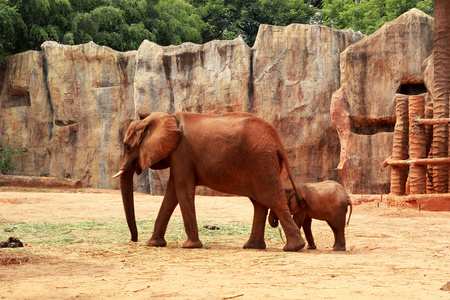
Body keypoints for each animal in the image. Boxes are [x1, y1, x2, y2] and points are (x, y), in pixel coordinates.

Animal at [114, 111, 308, 252]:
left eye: (127, 147)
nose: (134, 239)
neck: (166, 117)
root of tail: (278, 142)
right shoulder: (178, 155)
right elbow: (172, 194)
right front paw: (153, 244)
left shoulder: (182, 153)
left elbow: (183, 190)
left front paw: (190, 247)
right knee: (259, 203)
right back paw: (253, 247)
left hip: (261, 162)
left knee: (271, 199)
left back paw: (293, 248)